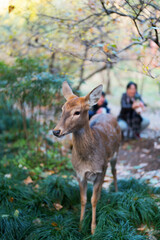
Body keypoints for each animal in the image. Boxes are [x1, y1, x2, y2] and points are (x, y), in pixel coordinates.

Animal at [52, 82, 121, 234]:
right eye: (62, 109)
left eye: (77, 112)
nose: (56, 131)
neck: (87, 160)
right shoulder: (79, 174)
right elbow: (83, 199)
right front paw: (80, 226)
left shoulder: (100, 170)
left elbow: (93, 200)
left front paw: (93, 230)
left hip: (116, 153)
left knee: (114, 171)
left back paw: (116, 191)